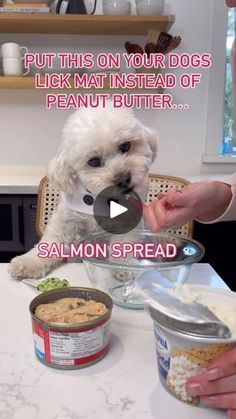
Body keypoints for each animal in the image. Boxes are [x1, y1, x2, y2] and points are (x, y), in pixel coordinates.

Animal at [9, 102, 158, 278]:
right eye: (94, 161)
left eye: (125, 146)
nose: (123, 179)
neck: (100, 198)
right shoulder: (65, 221)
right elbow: (51, 241)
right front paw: (28, 263)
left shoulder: (127, 223)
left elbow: (123, 244)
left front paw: (123, 268)